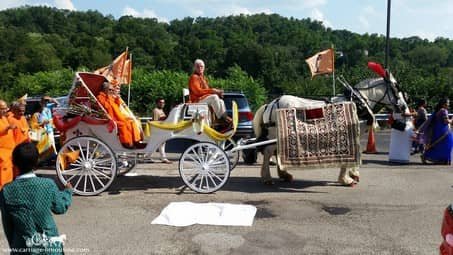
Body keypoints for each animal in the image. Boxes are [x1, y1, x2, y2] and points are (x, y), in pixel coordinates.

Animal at [252, 62, 408, 186]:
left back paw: (284, 175)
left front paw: (352, 174)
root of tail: (271, 103)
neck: (358, 103)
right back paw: (267, 178)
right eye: (396, 88)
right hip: (274, 133)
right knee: (268, 152)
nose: (404, 108)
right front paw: (347, 179)